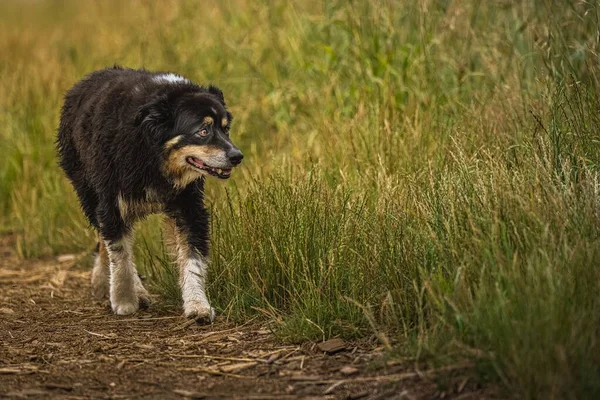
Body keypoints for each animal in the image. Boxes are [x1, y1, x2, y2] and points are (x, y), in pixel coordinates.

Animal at [56, 65, 243, 322]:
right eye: (203, 131)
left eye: (225, 129)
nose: (237, 156)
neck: (151, 154)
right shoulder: (112, 204)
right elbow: (120, 254)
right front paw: (124, 299)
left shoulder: (189, 206)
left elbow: (192, 258)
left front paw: (197, 304)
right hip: (88, 192)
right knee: (106, 241)